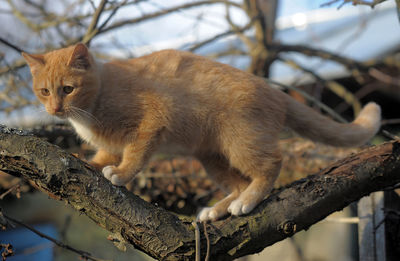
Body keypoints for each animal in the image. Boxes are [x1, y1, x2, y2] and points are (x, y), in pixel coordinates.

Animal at [21, 43, 382, 221]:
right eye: (43, 91)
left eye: (68, 89)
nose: (54, 109)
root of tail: (274, 90)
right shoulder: (111, 142)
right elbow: (106, 153)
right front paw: (91, 163)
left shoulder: (153, 120)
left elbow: (135, 155)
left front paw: (120, 174)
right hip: (211, 158)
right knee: (238, 183)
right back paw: (217, 210)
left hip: (241, 141)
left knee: (270, 165)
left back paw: (247, 202)